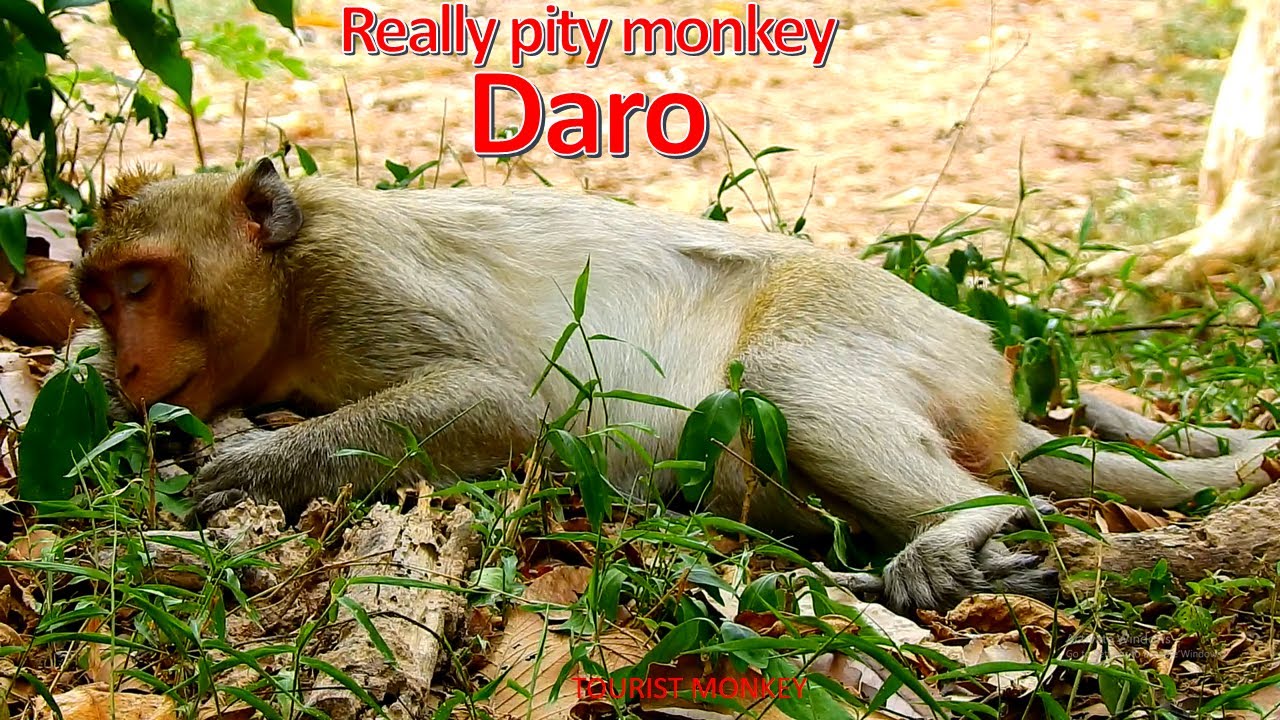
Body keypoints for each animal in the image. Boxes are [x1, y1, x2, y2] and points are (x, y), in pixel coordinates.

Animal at [67, 157, 1277, 613]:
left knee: (785, 379)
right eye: (96, 293)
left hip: (880, 322)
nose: (122, 367)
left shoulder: (355, 274)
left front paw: (249, 464)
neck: (285, 290)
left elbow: (498, 404)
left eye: (141, 282)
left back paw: (959, 527)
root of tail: (999, 384)